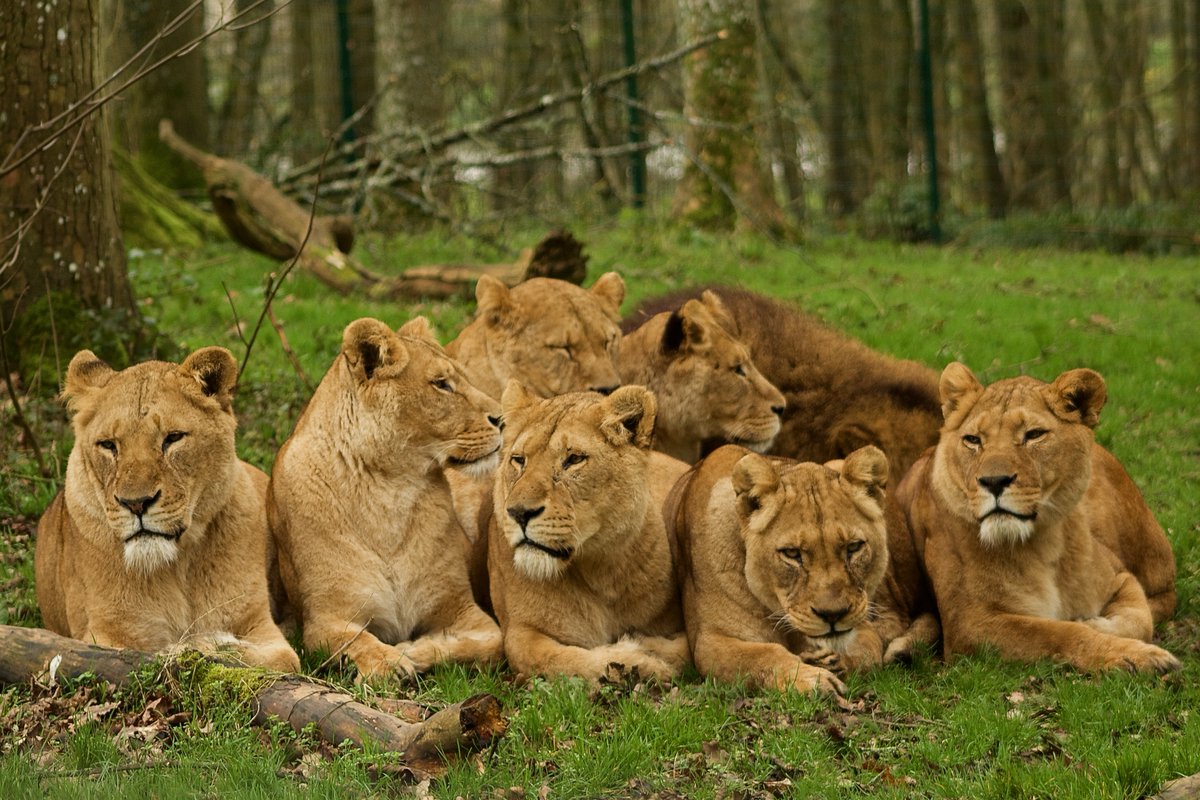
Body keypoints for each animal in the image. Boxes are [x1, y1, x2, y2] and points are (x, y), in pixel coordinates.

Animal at [35, 348, 300, 672]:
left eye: (173, 438)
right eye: (108, 445)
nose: (136, 503)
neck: (177, 565)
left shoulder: (260, 627)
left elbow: (279, 659)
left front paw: (201, 643)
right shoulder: (103, 634)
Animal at [268, 316, 504, 680]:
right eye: (442, 384)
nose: (503, 418)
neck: (389, 489)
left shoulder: (464, 609)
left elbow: (488, 645)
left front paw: (412, 650)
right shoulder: (325, 619)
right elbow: (358, 642)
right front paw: (389, 661)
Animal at [486, 382, 692, 684]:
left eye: (574, 459)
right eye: (519, 460)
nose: (519, 513)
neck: (598, 573)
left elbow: (686, 648)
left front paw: (647, 649)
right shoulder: (519, 631)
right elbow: (559, 660)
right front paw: (643, 661)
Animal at [666, 444, 892, 695]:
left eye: (853, 547)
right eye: (792, 553)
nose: (833, 615)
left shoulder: (862, 622)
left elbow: (870, 652)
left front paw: (832, 663)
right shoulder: (710, 641)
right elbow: (764, 654)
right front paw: (813, 679)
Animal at [885, 362, 1178, 673]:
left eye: (1034, 434)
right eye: (973, 440)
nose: (994, 481)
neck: (1042, 546)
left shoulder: (1119, 577)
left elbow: (1140, 619)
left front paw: (1098, 625)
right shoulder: (970, 623)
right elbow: (1060, 633)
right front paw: (1136, 656)